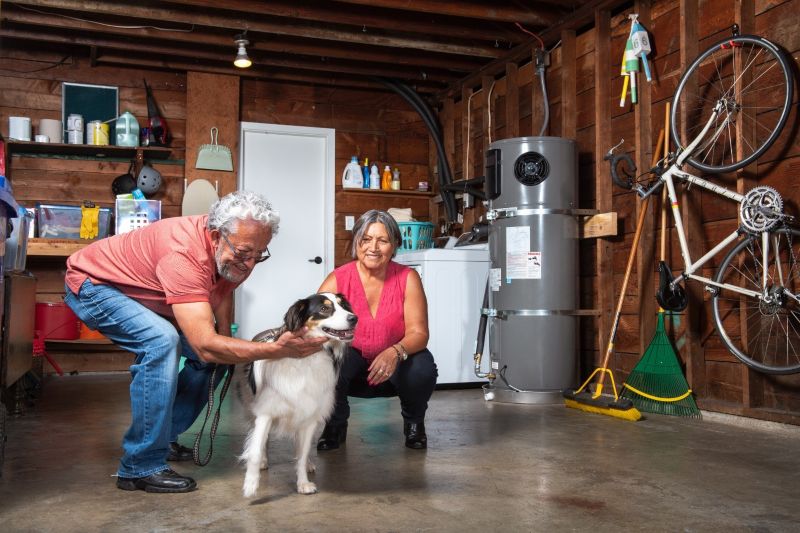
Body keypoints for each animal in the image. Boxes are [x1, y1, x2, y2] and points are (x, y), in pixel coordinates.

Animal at [239, 290, 358, 494]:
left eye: (343, 306)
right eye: (324, 309)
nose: (354, 318)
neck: (308, 359)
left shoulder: (309, 415)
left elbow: (302, 453)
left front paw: (303, 483)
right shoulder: (265, 412)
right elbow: (255, 449)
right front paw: (251, 484)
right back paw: (264, 461)